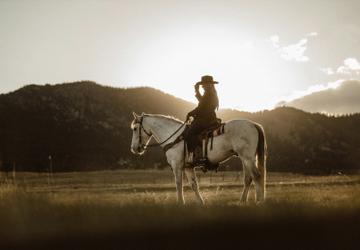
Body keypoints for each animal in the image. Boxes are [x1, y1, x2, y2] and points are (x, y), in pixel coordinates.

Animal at [131, 112, 266, 204]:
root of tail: (253, 125)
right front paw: (201, 203)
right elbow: (194, 185)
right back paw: (242, 201)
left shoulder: (177, 166)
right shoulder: (188, 167)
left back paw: (259, 201)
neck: (174, 138)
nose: (134, 148)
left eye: (135, 128)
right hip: (246, 159)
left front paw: (180, 203)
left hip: (247, 158)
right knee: (248, 178)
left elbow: (178, 184)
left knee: (256, 175)